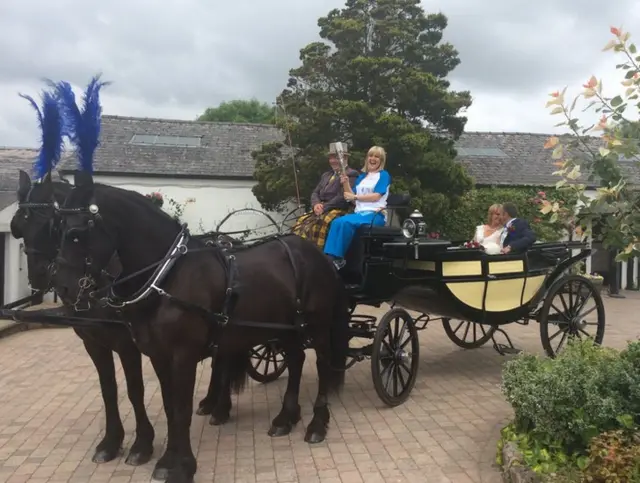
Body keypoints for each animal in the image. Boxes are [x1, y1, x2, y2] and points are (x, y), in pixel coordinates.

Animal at [53, 173, 350, 483]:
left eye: (76, 233)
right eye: (57, 226)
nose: (63, 287)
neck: (168, 276)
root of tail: (317, 254)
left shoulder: (182, 355)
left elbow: (181, 409)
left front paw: (183, 466)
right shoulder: (158, 355)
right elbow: (170, 405)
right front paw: (167, 460)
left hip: (317, 326)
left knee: (323, 365)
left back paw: (317, 424)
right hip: (287, 328)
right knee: (296, 360)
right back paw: (286, 418)